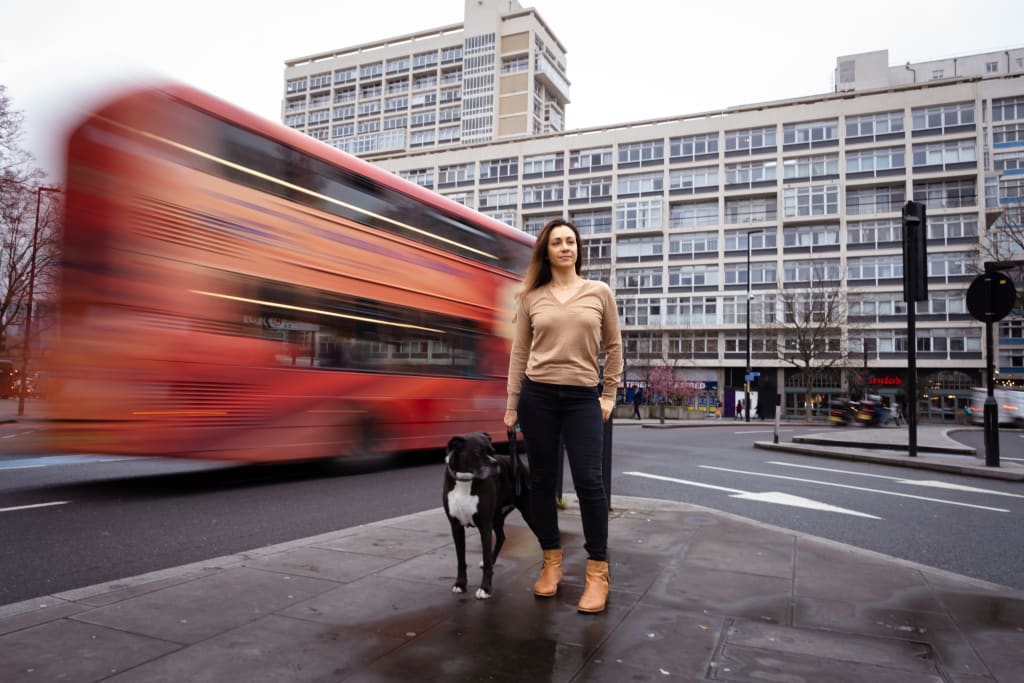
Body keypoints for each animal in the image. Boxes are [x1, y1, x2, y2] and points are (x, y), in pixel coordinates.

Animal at [444, 432, 532, 598]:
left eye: (492, 451)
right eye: (478, 453)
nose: (495, 463)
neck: (465, 480)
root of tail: (519, 464)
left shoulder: (484, 525)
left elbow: (485, 554)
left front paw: (485, 588)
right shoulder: (456, 527)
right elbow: (460, 559)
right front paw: (460, 584)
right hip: (496, 517)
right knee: (501, 537)